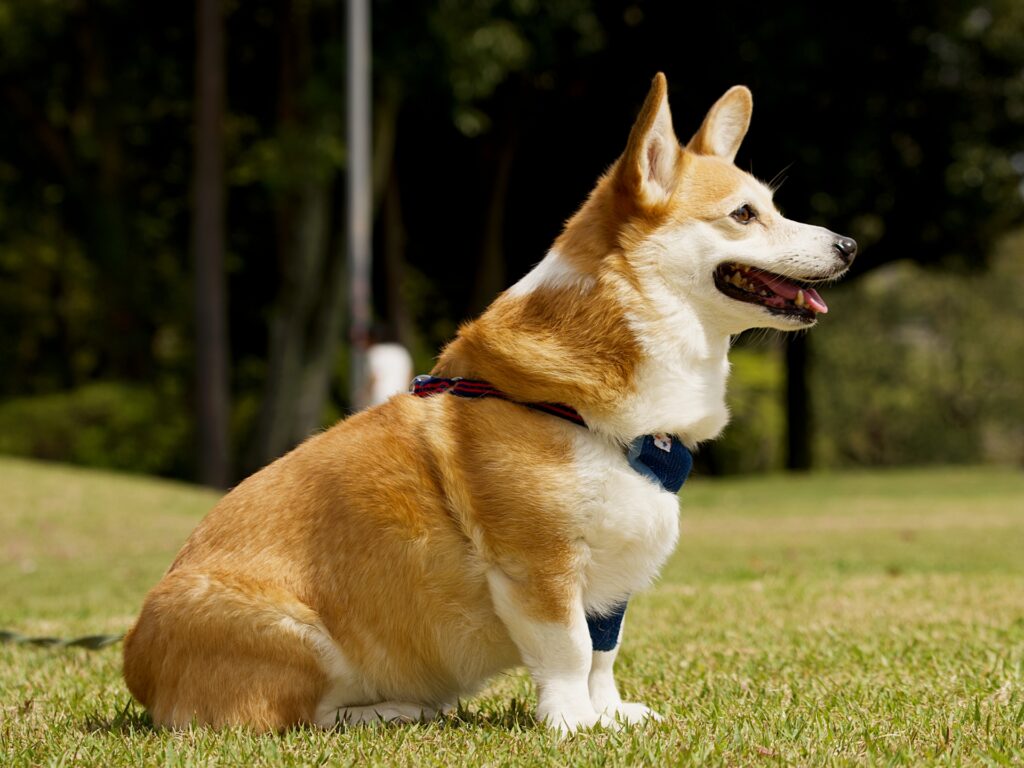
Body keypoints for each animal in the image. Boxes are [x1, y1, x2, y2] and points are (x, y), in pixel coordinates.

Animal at [121, 75, 856, 737]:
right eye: (743, 214)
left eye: (772, 207)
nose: (849, 245)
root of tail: (136, 668)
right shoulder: (540, 565)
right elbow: (569, 650)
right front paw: (572, 724)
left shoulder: (608, 581)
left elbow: (604, 653)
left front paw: (612, 715)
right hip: (296, 635)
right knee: (290, 718)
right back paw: (390, 712)